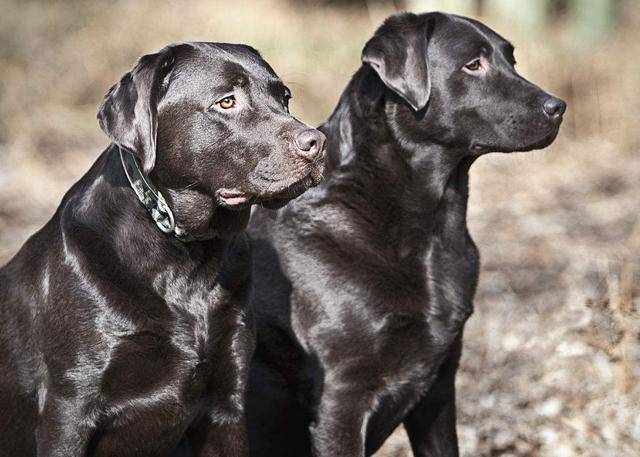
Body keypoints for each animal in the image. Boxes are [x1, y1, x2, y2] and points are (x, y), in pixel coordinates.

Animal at [1, 42, 324, 456]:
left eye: (284, 97)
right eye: (227, 101)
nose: (317, 142)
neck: (186, 260)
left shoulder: (226, 403)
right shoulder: (68, 408)